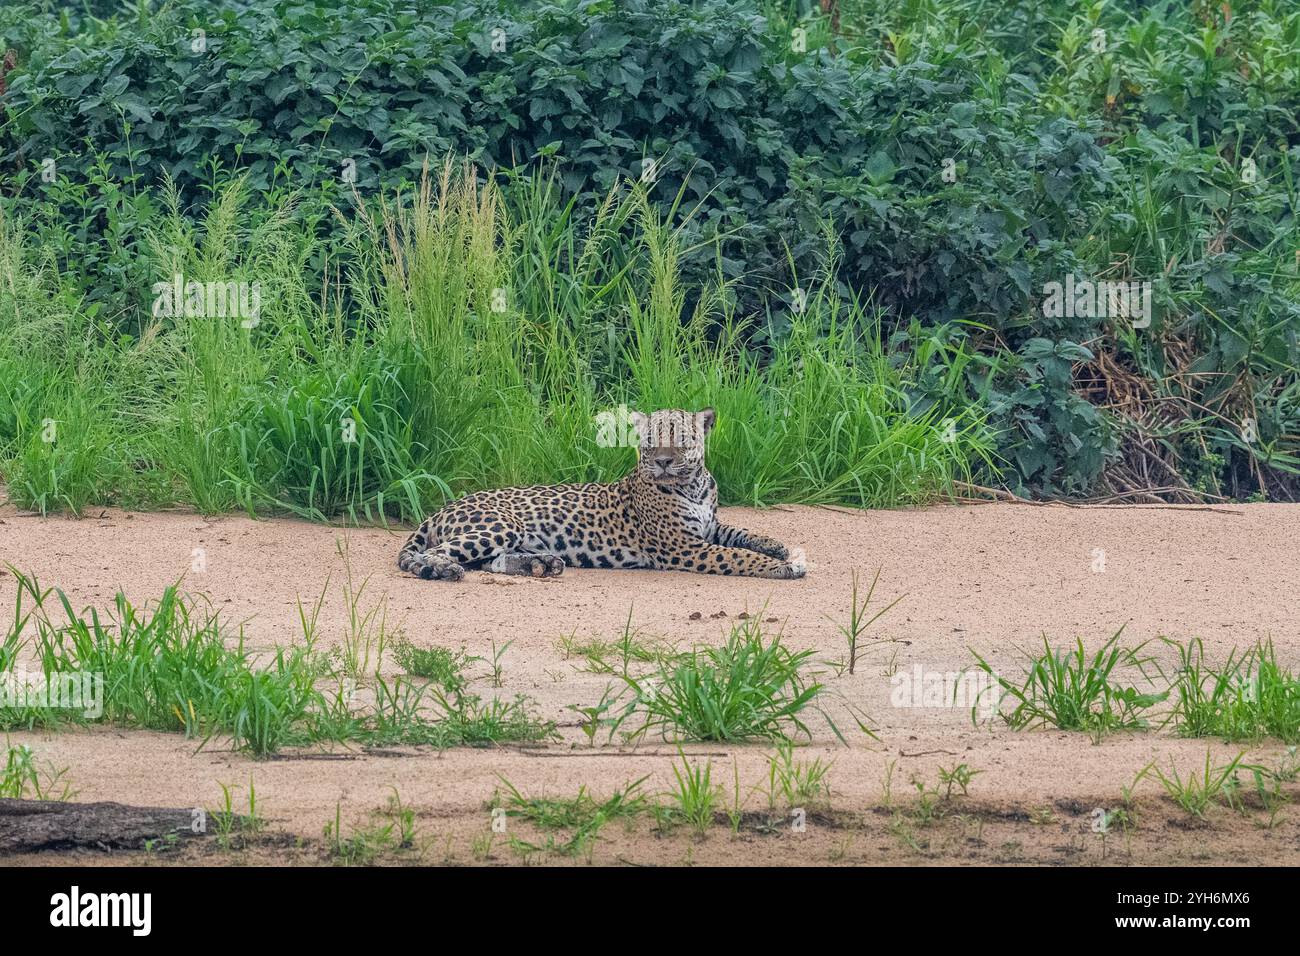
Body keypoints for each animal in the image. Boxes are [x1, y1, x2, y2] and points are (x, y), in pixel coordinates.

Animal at [397, 407, 805, 581]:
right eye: (650, 439)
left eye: (682, 439)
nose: (663, 462)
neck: (693, 485)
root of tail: (440, 510)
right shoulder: (685, 547)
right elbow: (736, 556)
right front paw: (784, 566)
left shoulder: (708, 528)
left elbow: (740, 534)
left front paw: (777, 547)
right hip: (500, 526)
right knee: (429, 556)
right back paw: (443, 570)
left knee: (487, 561)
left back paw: (541, 564)